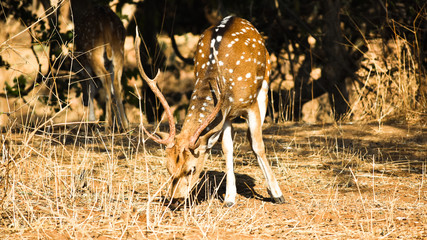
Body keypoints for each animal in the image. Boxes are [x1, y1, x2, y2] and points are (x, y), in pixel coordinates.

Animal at [71, 0, 129, 129]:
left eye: (78, 76)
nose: (84, 101)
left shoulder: (85, 64)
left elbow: (91, 88)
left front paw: (91, 120)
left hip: (93, 50)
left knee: (106, 79)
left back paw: (107, 125)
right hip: (119, 51)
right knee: (116, 83)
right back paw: (124, 124)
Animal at [135, 15, 286, 208]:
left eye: (191, 169)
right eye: (168, 168)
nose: (175, 200)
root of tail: (237, 17)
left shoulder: (250, 103)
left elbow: (258, 145)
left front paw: (277, 194)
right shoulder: (224, 114)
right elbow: (227, 148)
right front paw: (229, 197)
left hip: (264, 83)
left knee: (254, 137)